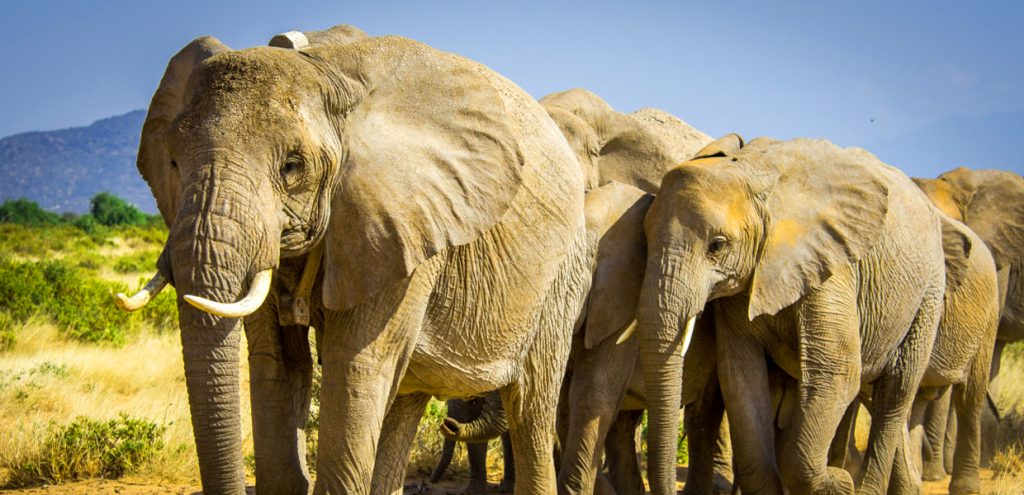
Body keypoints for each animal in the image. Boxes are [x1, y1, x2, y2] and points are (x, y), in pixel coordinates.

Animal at [117, 27, 593, 495]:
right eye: (172, 161)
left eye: (292, 166)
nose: (449, 423)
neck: (322, 69)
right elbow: (277, 365)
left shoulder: (403, 224)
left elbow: (355, 366)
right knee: (406, 400)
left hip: (561, 279)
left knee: (530, 408)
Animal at [630, 135, 950, 495]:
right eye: (645, 239)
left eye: (717, 245)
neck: (752, 173)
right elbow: (740, 374)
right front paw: (833, 478)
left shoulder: (830, 263)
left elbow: (836, 369)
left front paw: (838, 482)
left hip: (929, 293)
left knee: (895, 393)